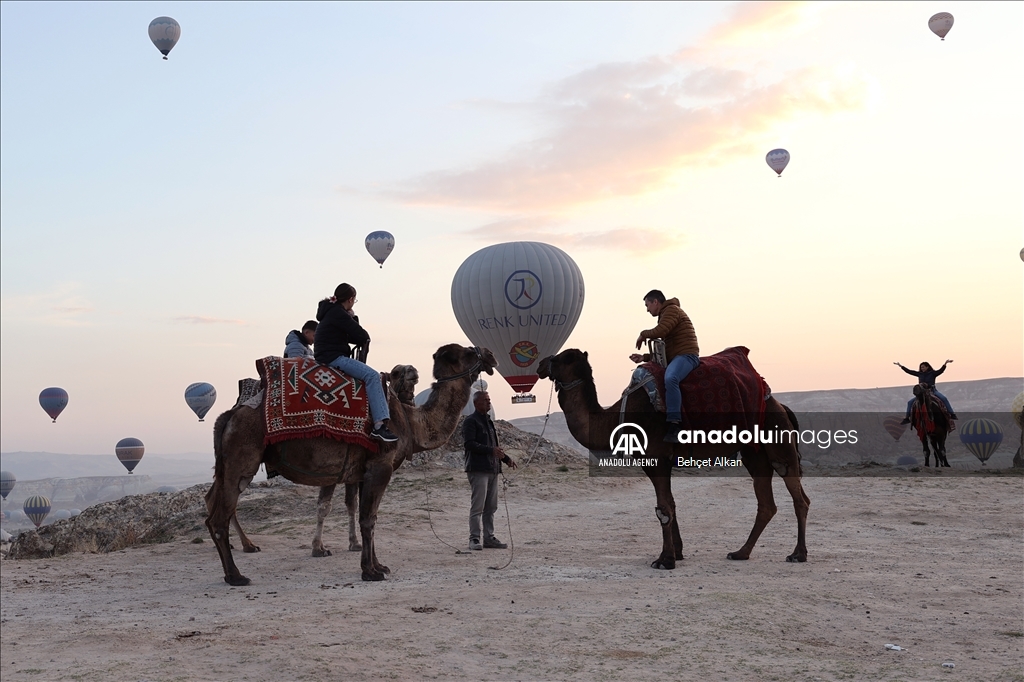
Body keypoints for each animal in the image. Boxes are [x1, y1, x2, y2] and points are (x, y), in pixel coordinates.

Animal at [205, 342, 493, 581]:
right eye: (467, 352)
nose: (489, 354)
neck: (411, 422)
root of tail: (228, 416)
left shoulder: (364, 472)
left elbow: (370, 516)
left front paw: (378, 565)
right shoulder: (381, 466)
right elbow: (367, 518)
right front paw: (369, 572)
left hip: (228, 463)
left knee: (215, 507)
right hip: (241, 459)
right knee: (220, 516)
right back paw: (236, 575)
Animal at [532, 348, 811, 565]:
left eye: (563, 357)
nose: (541, 363)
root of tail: (781, 405)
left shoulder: (657, 456)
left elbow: (663, 508)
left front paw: (664, 560)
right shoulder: (650, 460)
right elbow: (671, 504)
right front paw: (677, 552)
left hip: (778, 440)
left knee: (797, 494)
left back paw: (798, 554)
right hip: (754, 453)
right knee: (767, 503)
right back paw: (741, 552)